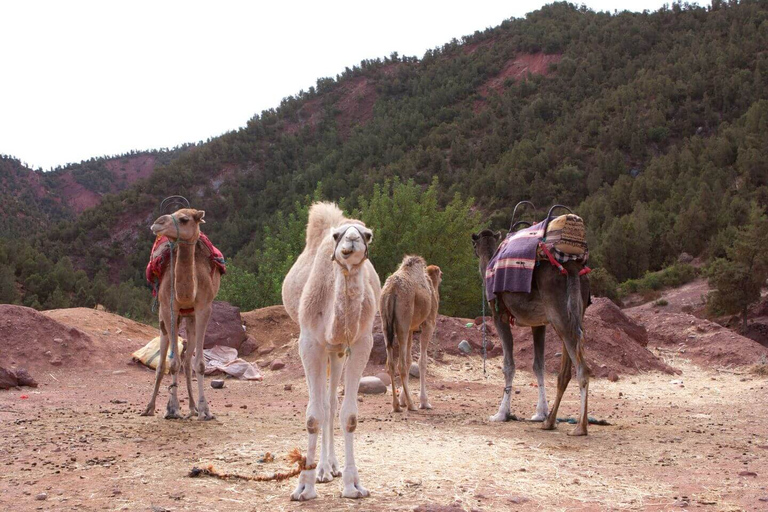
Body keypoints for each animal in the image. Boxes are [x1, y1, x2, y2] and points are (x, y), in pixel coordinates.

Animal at [142, 208, 222, 420]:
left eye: (184, 219)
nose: (157, 223)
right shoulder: (169, 308)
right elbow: (172, 364)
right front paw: (172, 409)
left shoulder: (204, 308)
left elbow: (199, 364)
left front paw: (205, 410)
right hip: (165, 319)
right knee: (163, 364)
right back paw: (149, 408)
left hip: (191, 317)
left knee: (187, 362)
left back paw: (193, 408)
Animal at [282, 202, 380, 502]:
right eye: (337, 235)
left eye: (368, 235)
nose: (352, 240)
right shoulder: (309, 342)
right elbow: (313, 416)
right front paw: (304, 487)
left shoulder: (362, 343)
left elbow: (349, 416)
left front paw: (353, 485)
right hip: (323, 348)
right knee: (324, 405)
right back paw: (322, 471)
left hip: (336, 352)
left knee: (331, 403)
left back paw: (331, 467)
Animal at [380, 256, 440, 412]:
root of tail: (392, 290)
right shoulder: (428, 323)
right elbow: (422, 361)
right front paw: (424, 402)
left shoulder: (412, 329)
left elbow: (409, 360)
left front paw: (403, 401)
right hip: (403, 321)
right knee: (400, 364)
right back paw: (412, 405)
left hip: (387, 324)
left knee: (391, 363)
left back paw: (396, 405)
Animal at [472, 232, 592, 436]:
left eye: (474, 245)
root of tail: (573, 269)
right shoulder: (538, 324)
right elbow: (538, 365)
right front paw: (540, 413)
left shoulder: (499, 316)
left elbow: (509, 365)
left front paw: (501, 414)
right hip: (574, 313)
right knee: (566, 370)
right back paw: (550, 421)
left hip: (559, 315)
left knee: (582, 368)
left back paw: (579, 427)